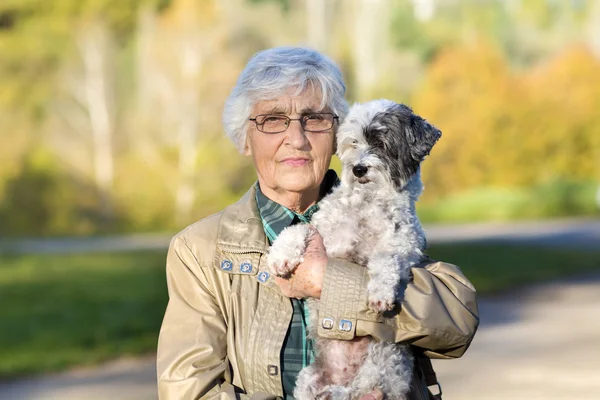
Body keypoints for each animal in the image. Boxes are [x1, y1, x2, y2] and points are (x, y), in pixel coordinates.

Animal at [268, 100, 440, 400]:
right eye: (353, 142)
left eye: (381, 142)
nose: (358, 169)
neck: (366, 203)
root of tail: (341, 377)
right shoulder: (323, 230)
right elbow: (299, 229)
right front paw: (281, 254)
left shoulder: (405, 244)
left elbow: (385, 259)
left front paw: (380, 293)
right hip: (308, 378)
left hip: (383, 360)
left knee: (357, 390)